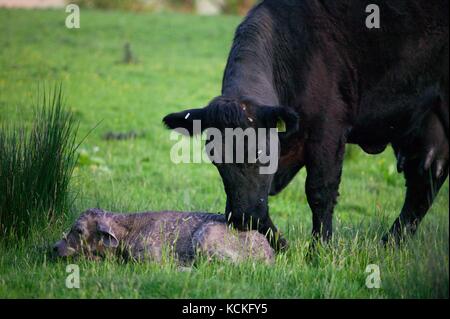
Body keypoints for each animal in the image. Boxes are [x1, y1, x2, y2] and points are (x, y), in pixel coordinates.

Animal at [163, 0, 448, 250]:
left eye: (262, 154)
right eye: (215, 157)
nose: (243, 218)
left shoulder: (328, 130)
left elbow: (319, 192)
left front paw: (319, 252)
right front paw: (283, 246)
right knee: (425, 181)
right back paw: (389, 245)